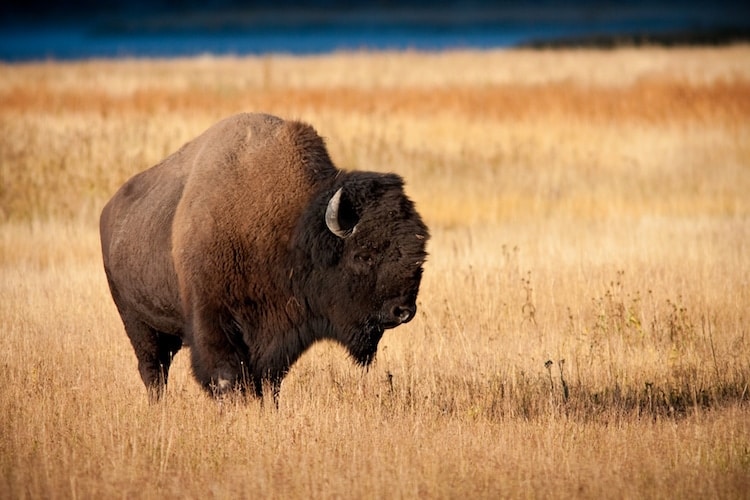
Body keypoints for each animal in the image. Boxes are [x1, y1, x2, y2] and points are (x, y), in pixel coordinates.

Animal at [100, 113, 429, 401]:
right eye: (363, 256)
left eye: (420, 255)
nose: (403, 311)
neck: (291, 228)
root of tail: (109, 210)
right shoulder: (213, 321)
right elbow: (226, 377)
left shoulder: (278, 336)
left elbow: (269, 380)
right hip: (137, 321)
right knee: (153, 370)